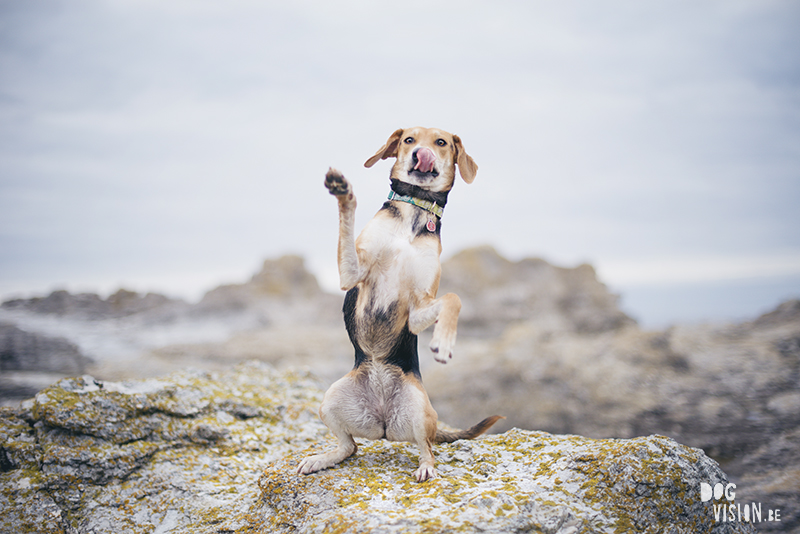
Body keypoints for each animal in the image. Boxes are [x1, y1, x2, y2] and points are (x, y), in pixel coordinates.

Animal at [296, 127, 504, 484]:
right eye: (409, 140)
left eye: (441, 143)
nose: (421, 154)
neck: (414, 211)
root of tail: (383, 427)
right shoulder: (352, 272)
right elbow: (348, 213)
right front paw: (343, 190)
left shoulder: (418, 307)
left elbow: (453, 298)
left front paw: (444, 342)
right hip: (329, 399)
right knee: (349, 447)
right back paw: (322, 458)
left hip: (420, 410)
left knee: (427, 448)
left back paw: (425, 467)